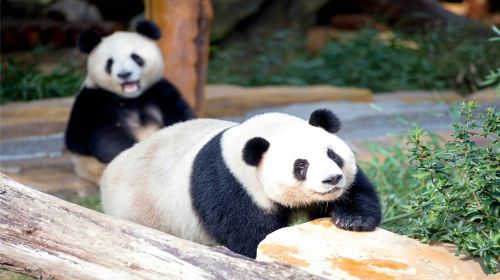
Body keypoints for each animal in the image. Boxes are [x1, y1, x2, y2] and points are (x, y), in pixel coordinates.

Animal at [64, 21, 193, 184]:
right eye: (110, 63)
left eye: (136, 57)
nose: (124, 74)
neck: (131, 98)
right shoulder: (95, 101)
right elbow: (109, 136)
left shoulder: (158, 91)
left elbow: (180, 113)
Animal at [101, 109, 382, 258]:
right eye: (301, 165)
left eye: (332, 155)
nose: (332, 179)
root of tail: (109, 172)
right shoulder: (231, 185)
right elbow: (249, 235)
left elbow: (357, 190)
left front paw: (352, 220)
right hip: (140, 209)